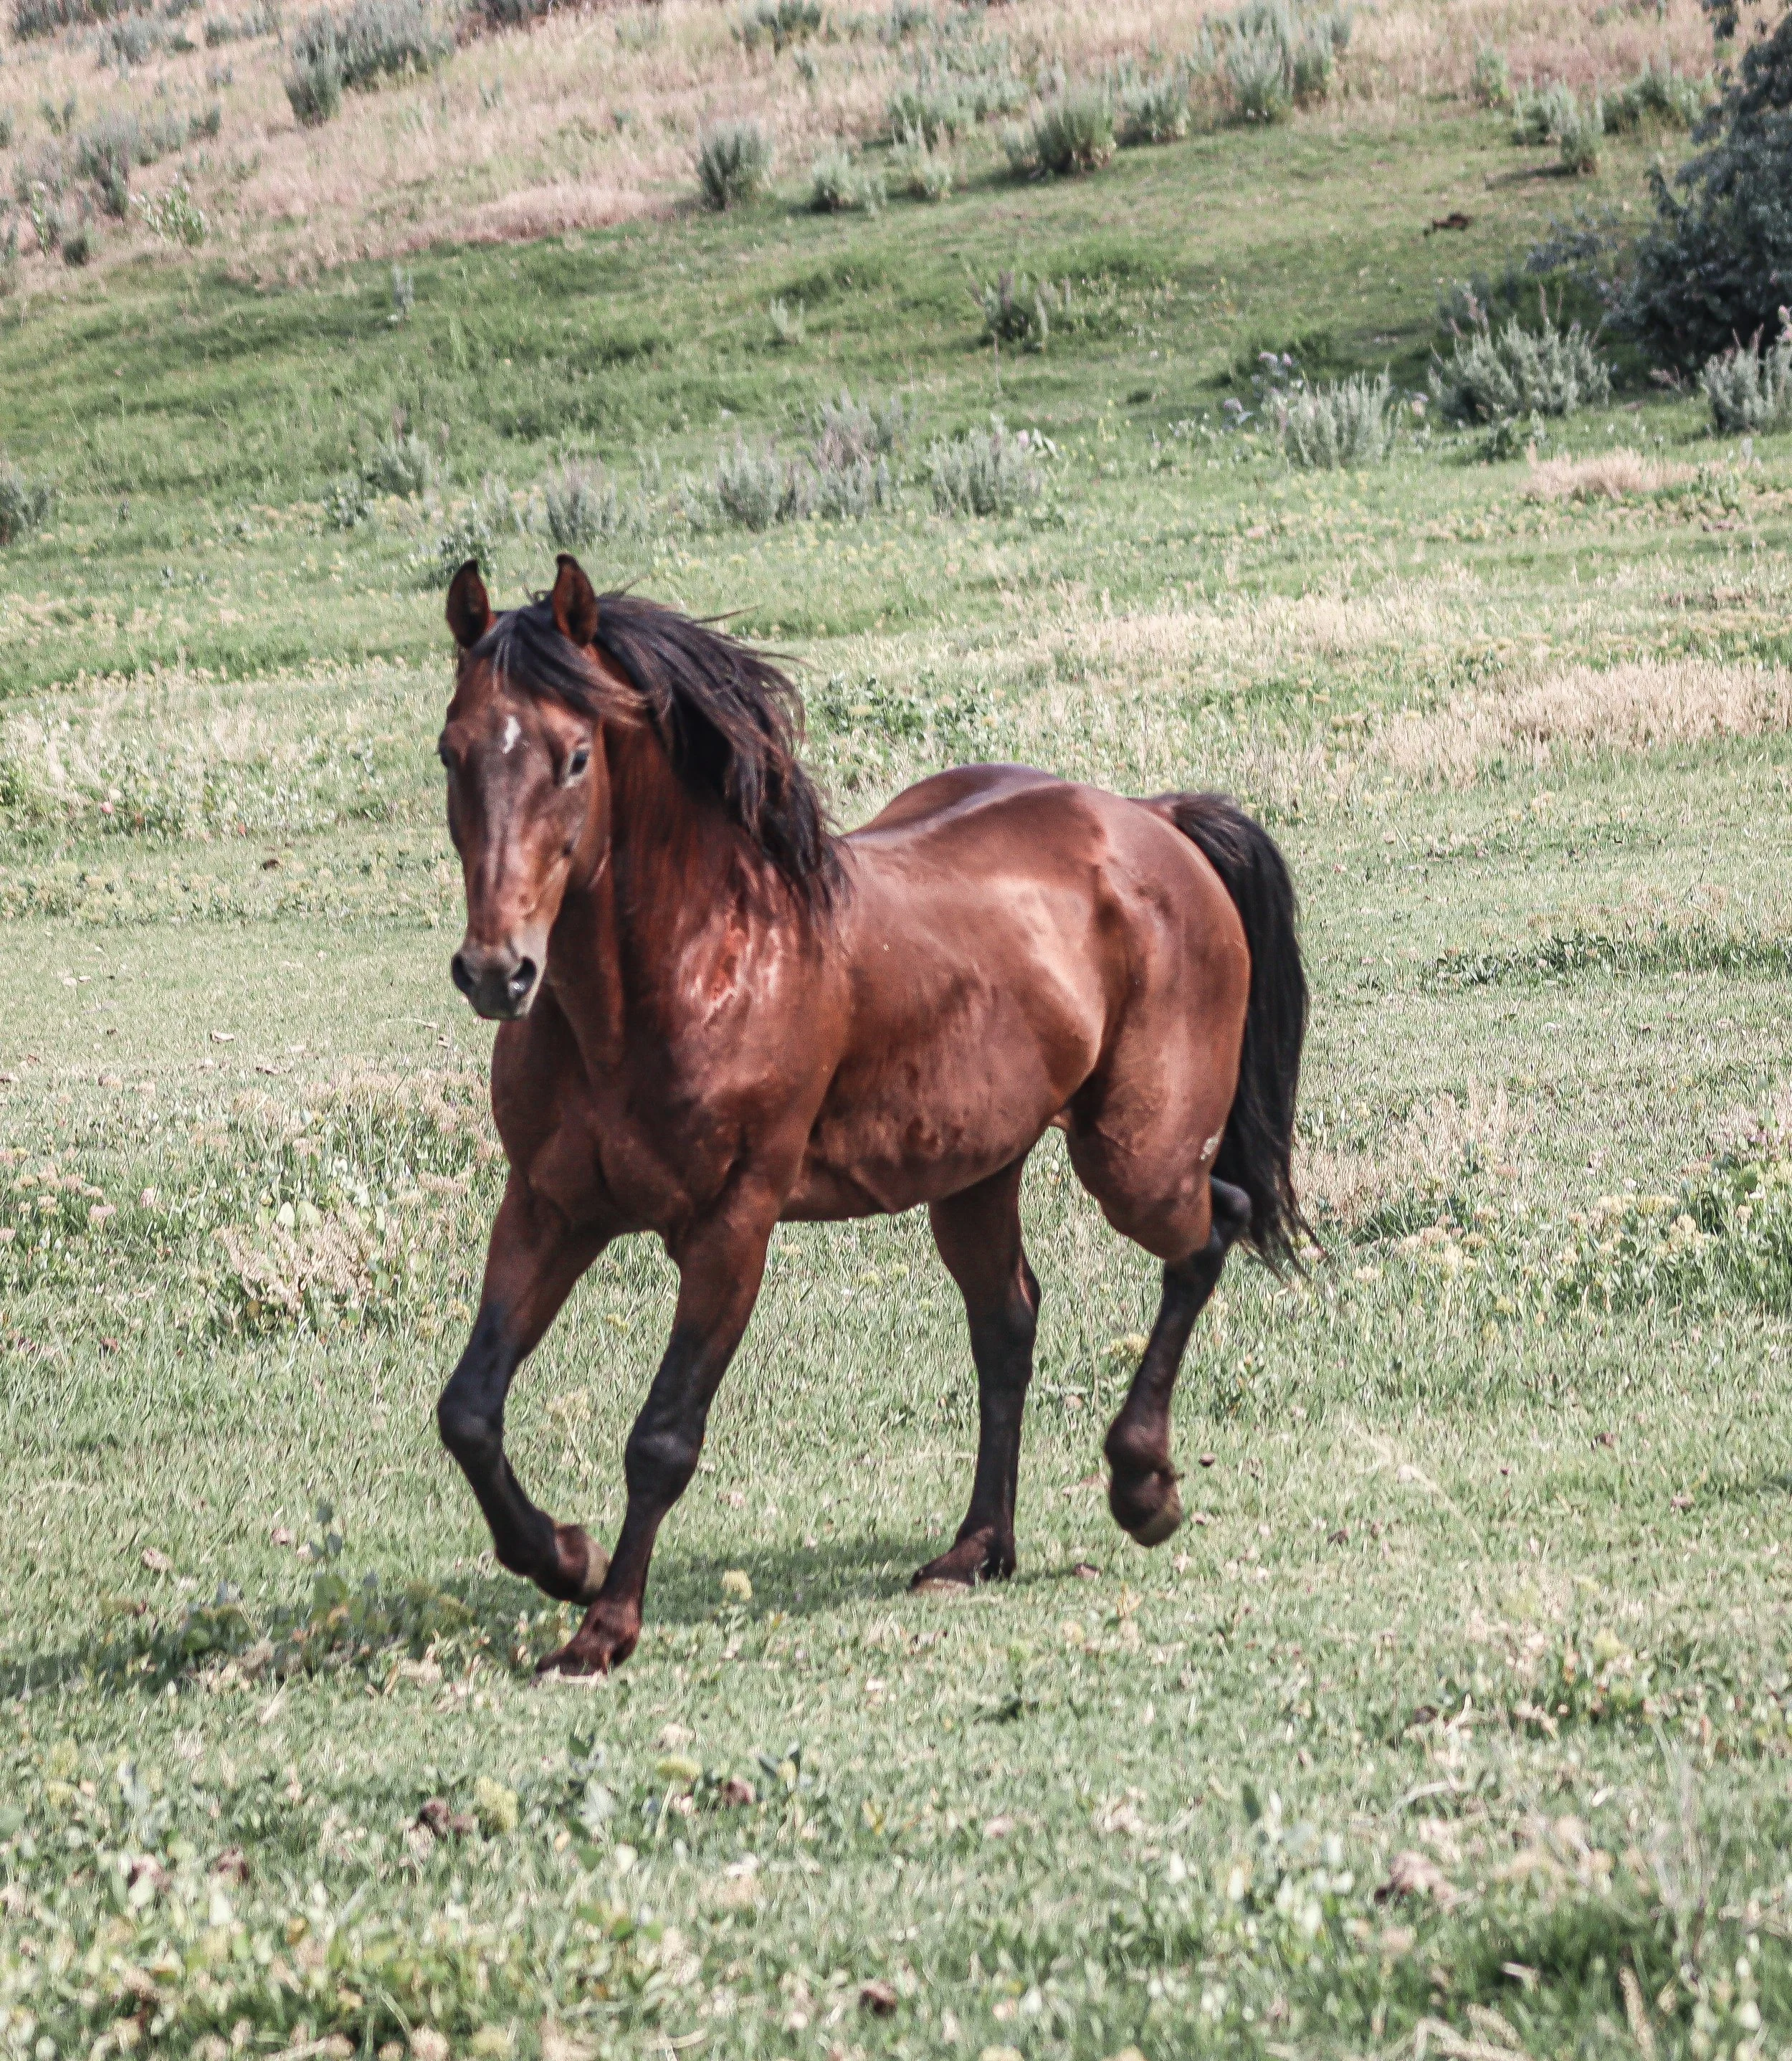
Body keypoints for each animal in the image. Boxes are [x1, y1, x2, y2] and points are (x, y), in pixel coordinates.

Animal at [433, 554, 1309, 1674]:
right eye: (451, 751)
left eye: (575, 755)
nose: (496, 970)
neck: (677, 975)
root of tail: (1150, 818)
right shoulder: (549, 1208)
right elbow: (469, 1410)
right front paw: (564, 1556)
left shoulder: (732, 1226)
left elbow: (663, 1435)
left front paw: (605, 1623)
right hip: (977, 1172)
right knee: (1008, 1321)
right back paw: (978, 1548)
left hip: (1137, 1161)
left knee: (1211, 1228)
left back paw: (1142, 1486)